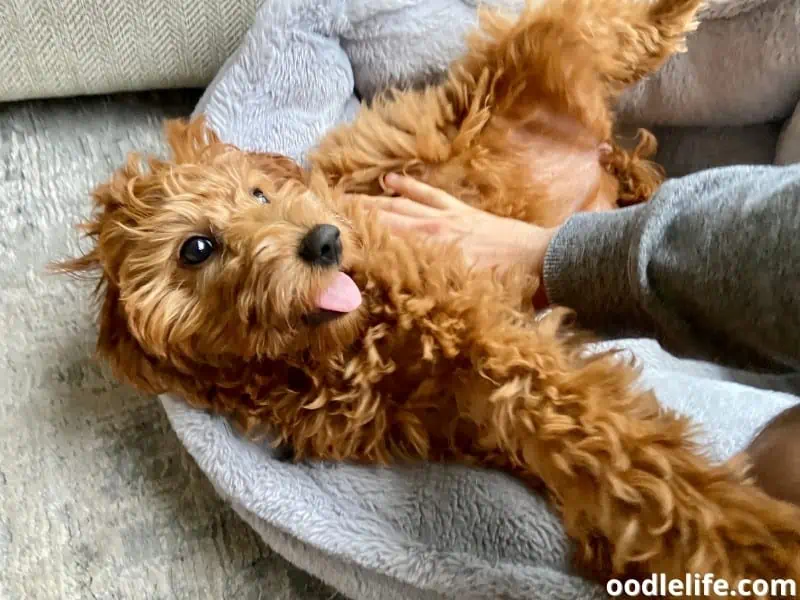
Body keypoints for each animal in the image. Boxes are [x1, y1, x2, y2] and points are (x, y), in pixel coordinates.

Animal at [57, 0, 800, 592]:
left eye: (261, 194)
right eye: (196, 248)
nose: (324, 241)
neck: (331, 351)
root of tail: (600, 151)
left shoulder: (492, 344)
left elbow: (629, 455)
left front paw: (749, 548)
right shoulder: (468, 409)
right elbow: (580, 464)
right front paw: (621, 546)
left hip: (553, 45)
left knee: (625, 19)